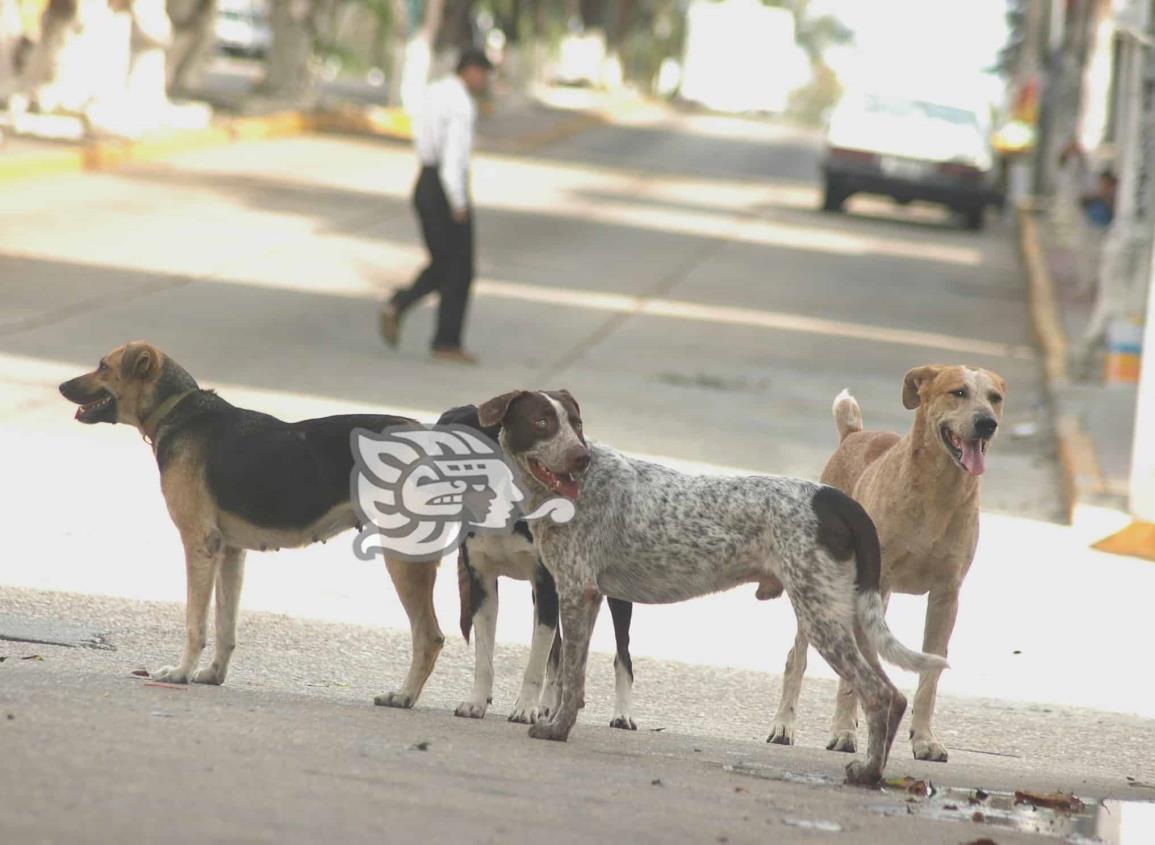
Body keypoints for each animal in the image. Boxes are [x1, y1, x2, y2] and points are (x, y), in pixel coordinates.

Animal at [57, 339, 445, 701]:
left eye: (102, 366)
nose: (61, 386)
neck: (179, 409)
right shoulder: (230, 552)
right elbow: (224, 625)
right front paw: (213, 674)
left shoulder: (199, 544)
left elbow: (195, 623)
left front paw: (181, 673)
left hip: (404, 556)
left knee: (429, 636)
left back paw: (403, 696)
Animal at [771, 367, 1007, 761]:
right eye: (958, 392)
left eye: (995, 397)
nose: (987, 423)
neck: (938, 494)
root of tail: (853, 434)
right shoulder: (874, 586)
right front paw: (842, 733)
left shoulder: (946, 596)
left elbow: (930, 674)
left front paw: (924, 739)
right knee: (797, 658)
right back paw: (785, 725)